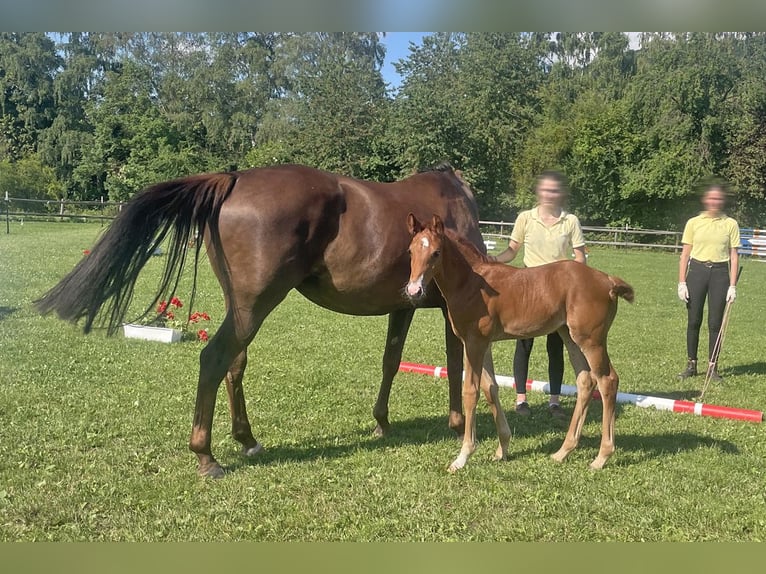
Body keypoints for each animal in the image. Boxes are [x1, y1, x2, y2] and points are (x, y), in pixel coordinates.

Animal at [35, 163, 495, 478]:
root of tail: (233, 180)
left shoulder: (403, 306)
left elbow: (391, 361)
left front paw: (382, 421)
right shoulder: (451, 310)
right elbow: (458, 366)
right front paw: (457, 425)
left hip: (241, 307)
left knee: (234, 363)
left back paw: (248, 440)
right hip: (254, 305)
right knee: (214, 358)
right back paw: (206, 456)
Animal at [405, 213, 635, 472]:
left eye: (436, 252)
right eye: (411, 251)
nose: (414, 290)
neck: (472, 282)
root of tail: (608, 281)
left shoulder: (474, 343)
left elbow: (471, 391)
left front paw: (462, 456)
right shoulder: (483, 344)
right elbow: (490, 387)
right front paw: (502, 448)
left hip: (592, 340)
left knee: (607, 381)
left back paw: (601, 456)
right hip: (570, 336)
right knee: (585, 381)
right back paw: (563, 451)